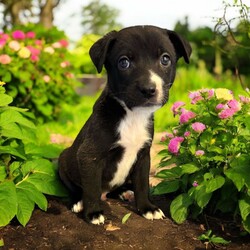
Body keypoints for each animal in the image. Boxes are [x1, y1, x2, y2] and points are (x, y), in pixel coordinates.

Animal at [58, 25, 191, 225]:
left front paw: (147, 208)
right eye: (124, 63)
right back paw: (78, 201)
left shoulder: (143, 156)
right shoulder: (89, 156)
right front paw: (93, 213)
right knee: (75, 188)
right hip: (63, 159)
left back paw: (124, 192)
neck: (133, 115)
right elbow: (91, 188)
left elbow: (142, 184)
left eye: (165, 59)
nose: (148, 89)